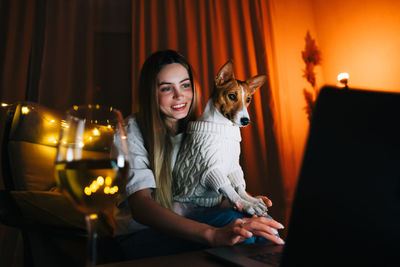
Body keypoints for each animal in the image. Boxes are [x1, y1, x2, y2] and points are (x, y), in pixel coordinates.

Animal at [173, 59, 268, 217]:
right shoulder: (211, 169)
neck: (223, 128)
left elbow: (239, 187)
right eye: (232, 96)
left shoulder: (234, 166)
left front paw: (251, 200)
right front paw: (247, 205)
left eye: (248, 99)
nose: (246, 121)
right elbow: (230, 190)